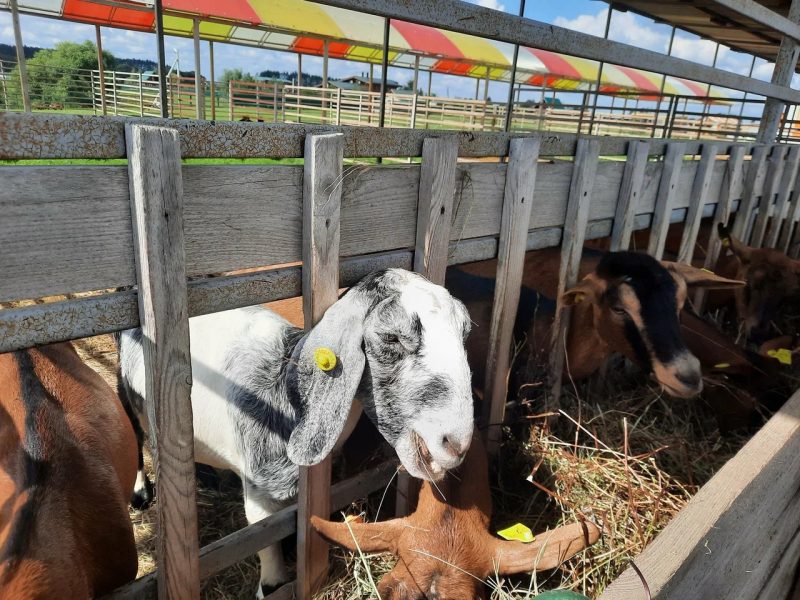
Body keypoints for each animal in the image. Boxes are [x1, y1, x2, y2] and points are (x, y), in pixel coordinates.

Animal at [118, 268, 475, 597]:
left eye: (465, 332)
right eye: (391, 338)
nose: (456, 443)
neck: (284, 395)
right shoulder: (259, 495)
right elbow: (268, 547)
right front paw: (273, 583)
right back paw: (141, 494)